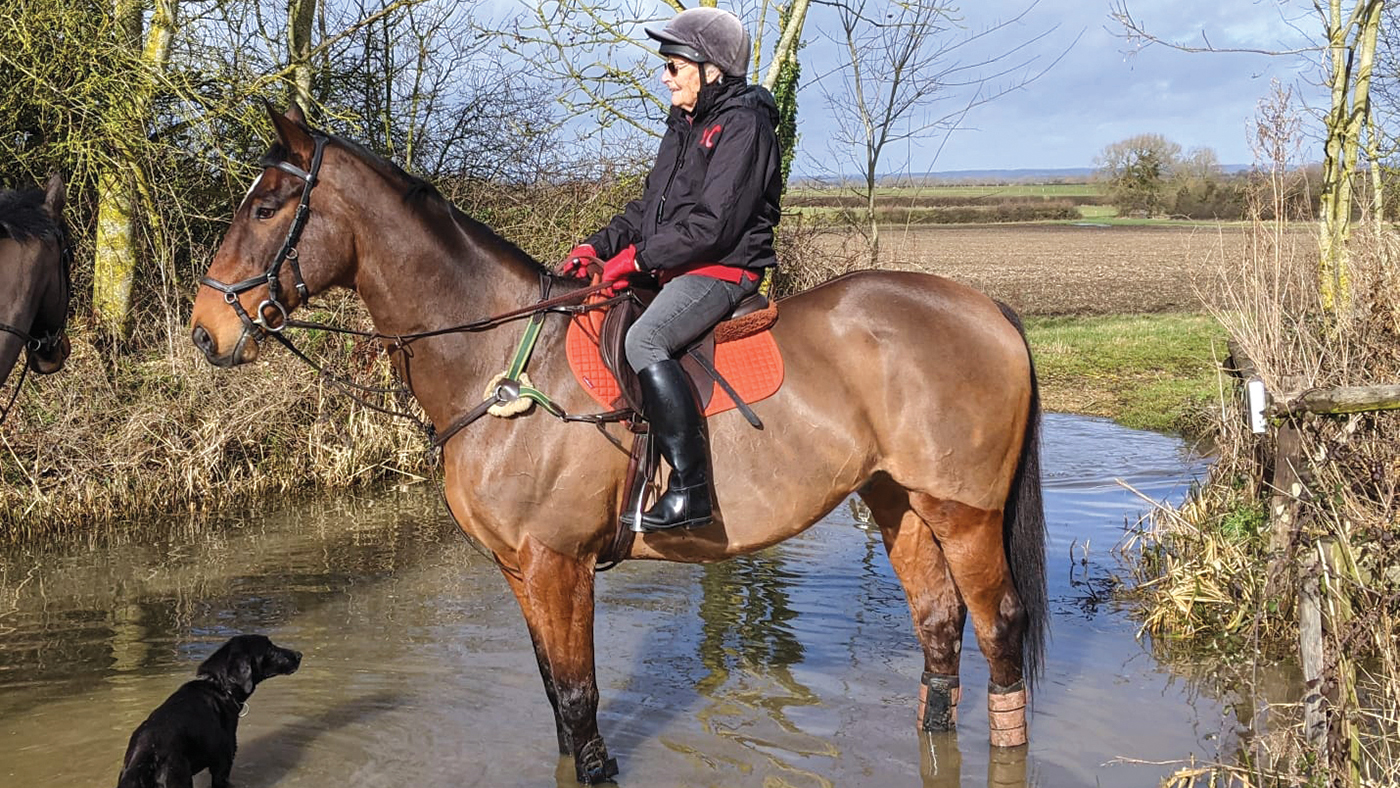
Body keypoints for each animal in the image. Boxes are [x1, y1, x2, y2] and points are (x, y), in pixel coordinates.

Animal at [189, 105, 1047, 784]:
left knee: (999, 625)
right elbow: (557, 702)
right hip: (899, 501)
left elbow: (578, 700)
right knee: (939, 625)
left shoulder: (558, 565)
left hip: (964, 512)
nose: (206, 332)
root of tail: (986, 309)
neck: (499, 363)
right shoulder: (519, 569)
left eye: (267, 208)